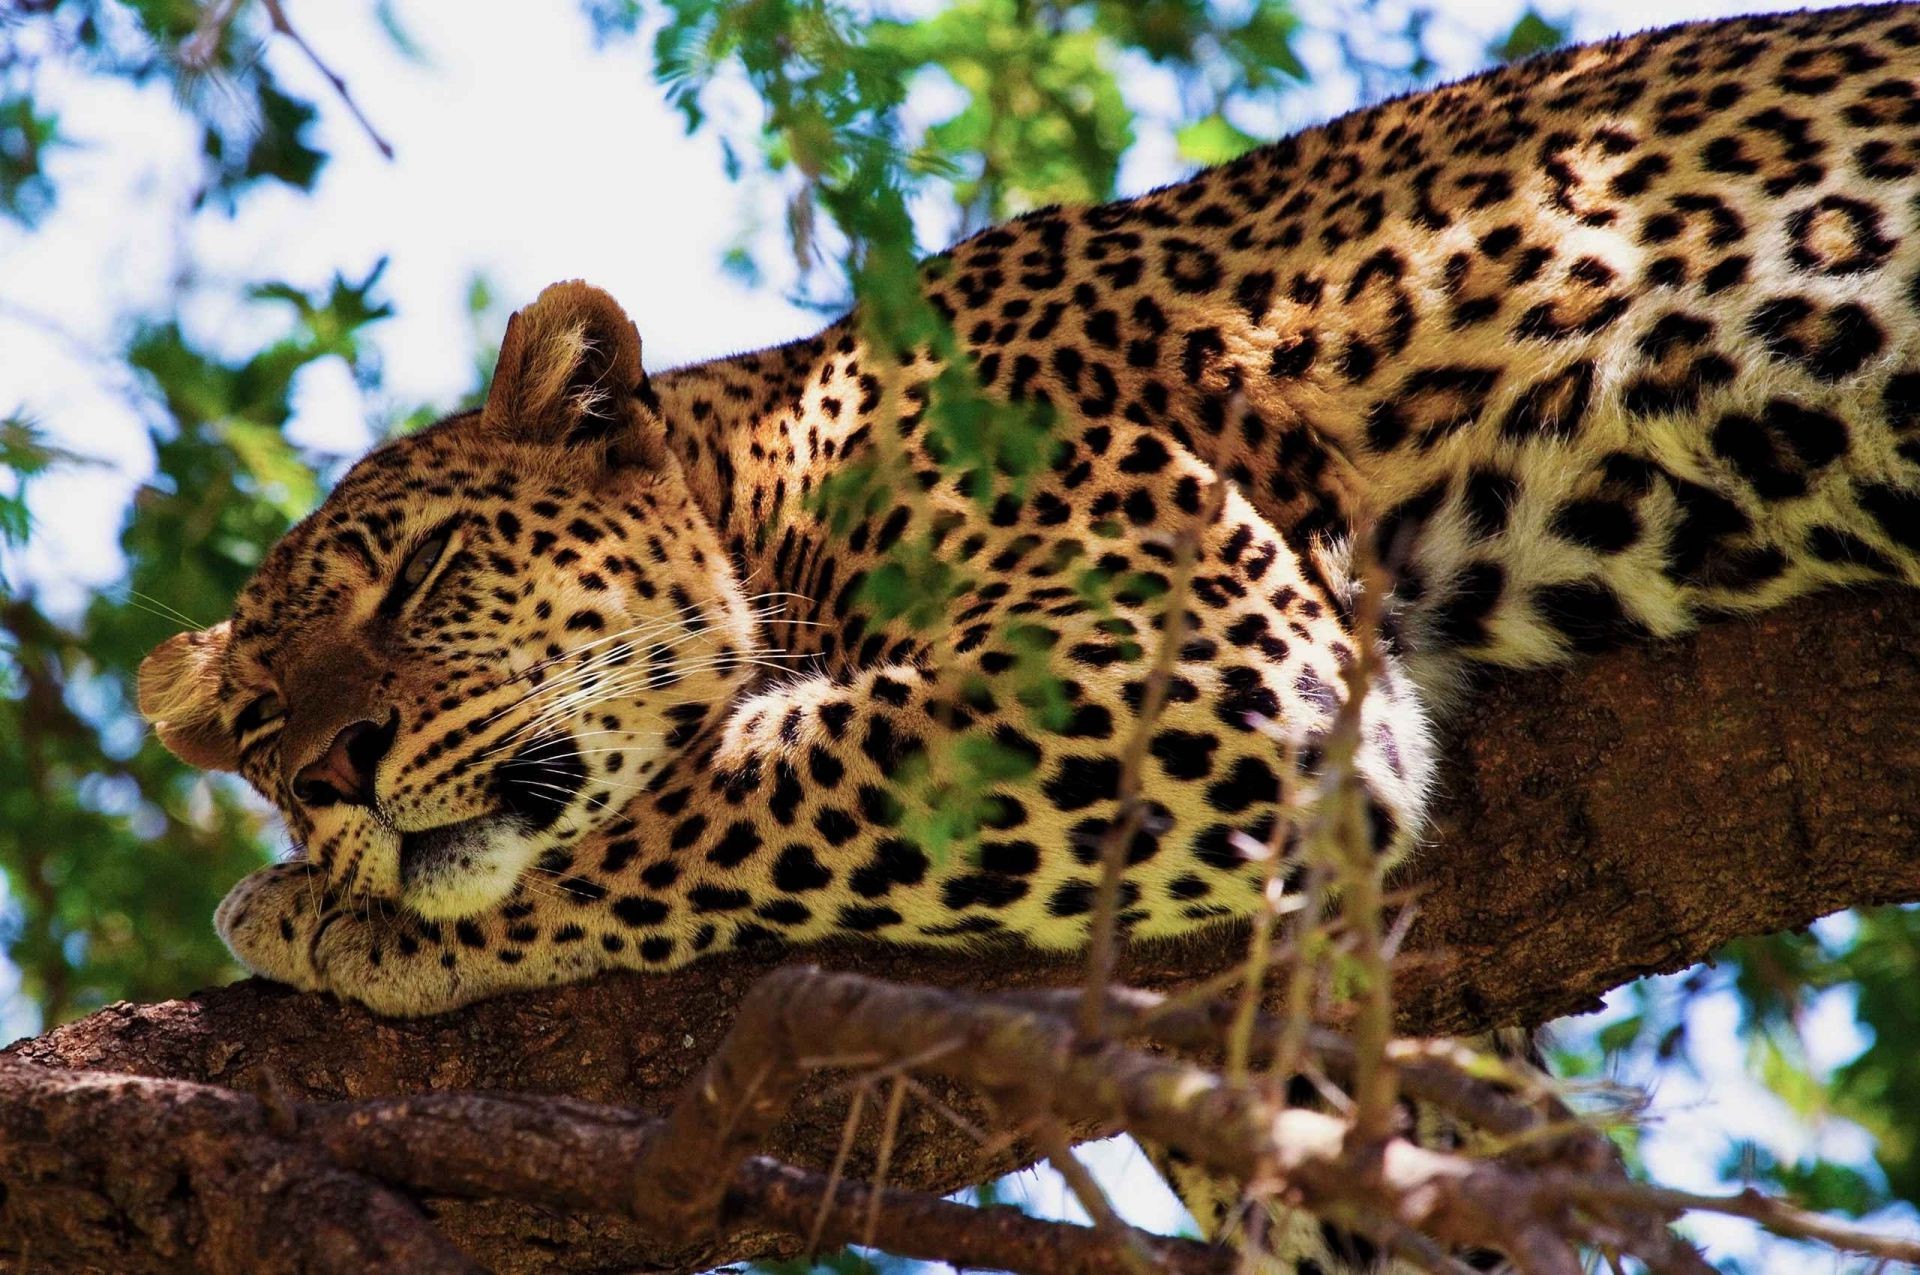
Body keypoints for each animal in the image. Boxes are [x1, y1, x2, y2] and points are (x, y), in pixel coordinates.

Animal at [139, 2, 1920, 1267]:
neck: (778, 472)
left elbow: (731, 787)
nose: (334, 773)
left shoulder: (1195, 647)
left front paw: (335, 914)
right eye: (258, 731)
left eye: (427, 571)